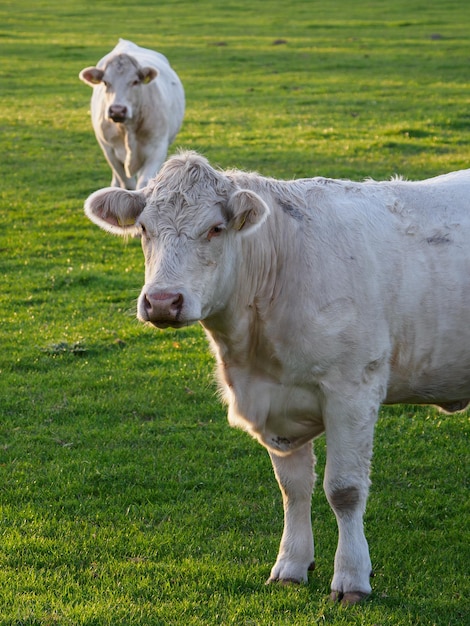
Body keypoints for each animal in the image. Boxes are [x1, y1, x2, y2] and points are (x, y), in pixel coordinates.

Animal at [80, 39, 185, 189]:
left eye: (135, 81)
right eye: (105, 82)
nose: (117, 110)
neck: (128, 128)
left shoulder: (157, 148)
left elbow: (144, 183)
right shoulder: (110, 151)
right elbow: (127, 184)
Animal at [84, 150, 470, 600]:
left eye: (215, 228)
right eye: (144, 228)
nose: (162, 301)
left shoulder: (353, 389)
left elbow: (344, 489)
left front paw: (352, 577)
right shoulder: (276, 403)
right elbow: (293, 487)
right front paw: (291, 564)